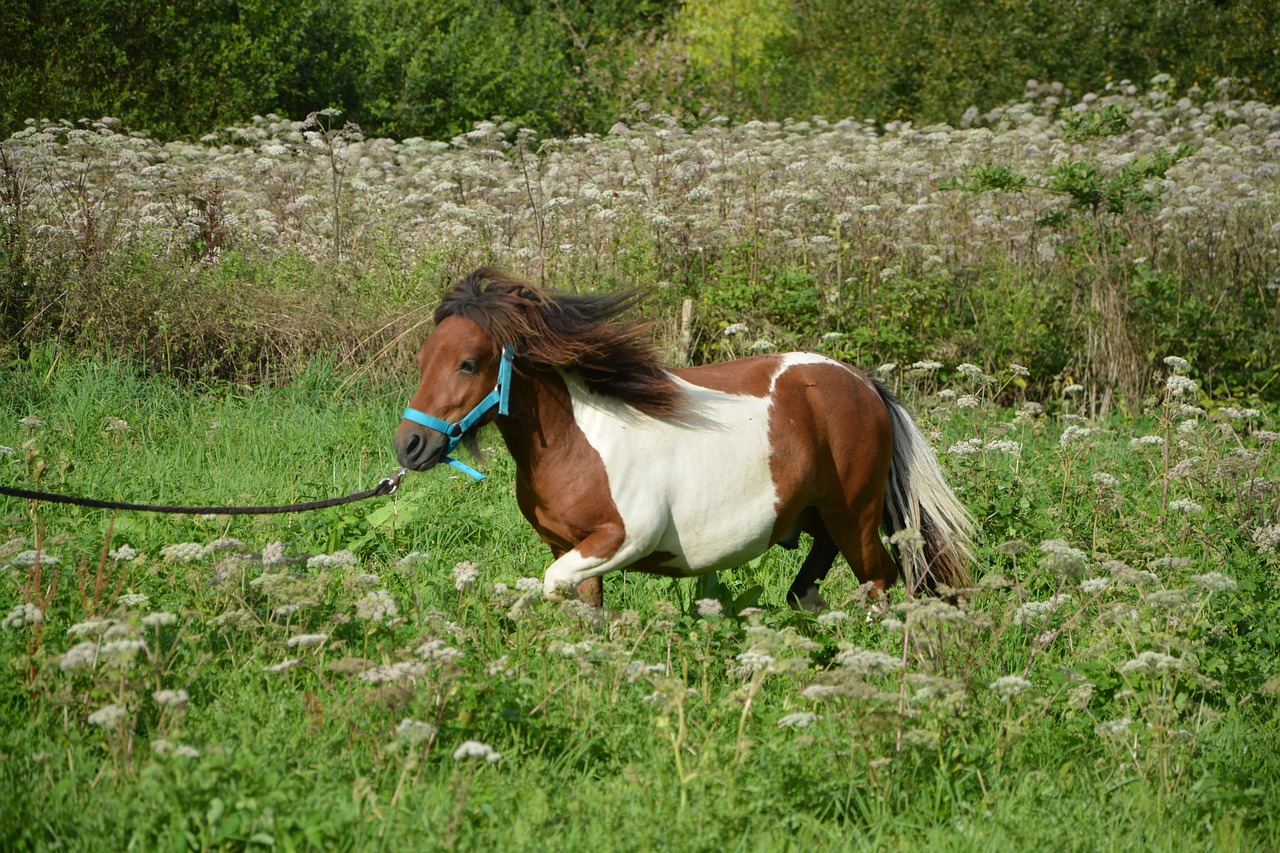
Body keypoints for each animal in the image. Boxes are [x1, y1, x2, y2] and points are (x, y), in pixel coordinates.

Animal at [389, 268, 967, 607]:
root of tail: (862, 382)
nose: (409, 446)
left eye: (468, 363)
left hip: (855, 517)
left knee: (881, 580)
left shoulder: (622, 538)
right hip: (821, 517)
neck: (579, 441)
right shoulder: (572, 548)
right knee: (810, 587)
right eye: (422, 359)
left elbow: (553, 586)